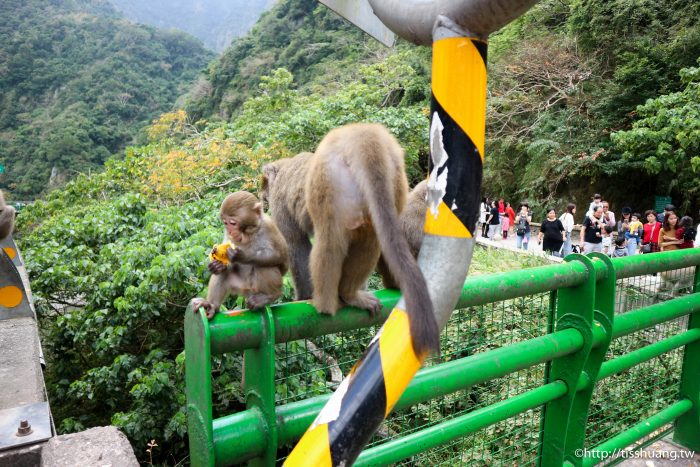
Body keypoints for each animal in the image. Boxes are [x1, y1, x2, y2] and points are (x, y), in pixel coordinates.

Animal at [190, 192, 288, 320]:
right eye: (225, 223)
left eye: (233, 223)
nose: (230, 231)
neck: (248, 234)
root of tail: (249, 292)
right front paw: (217, 266)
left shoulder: (269, 226)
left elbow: (281, 257)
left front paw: (241, 256)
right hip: (240, 287)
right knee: (224, 274)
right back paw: (211, 305)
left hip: (256, 289)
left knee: (264, 265)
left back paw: (269, 295)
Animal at [262, 124, 438, 358]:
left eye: (263, 187)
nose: (261, 197)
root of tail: (363, 139)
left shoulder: (280, 203)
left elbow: (295, 244)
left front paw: (303, 296)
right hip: (394, 181)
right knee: (370, 238)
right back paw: (351, 293)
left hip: (334, 186)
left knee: (330, 240)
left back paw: (327, 303)